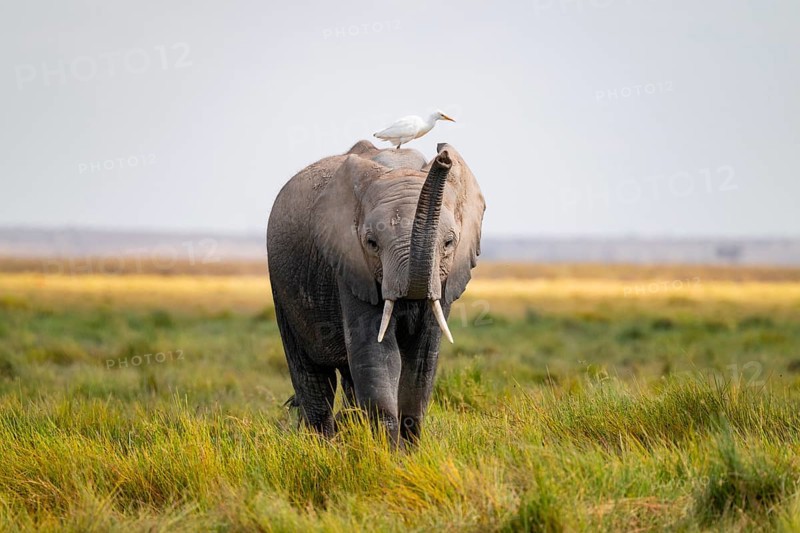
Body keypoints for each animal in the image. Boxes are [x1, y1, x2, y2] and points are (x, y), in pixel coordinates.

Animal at [266, 139, 485, 445]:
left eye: (449, 243)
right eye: (371, 243)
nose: (443, 156)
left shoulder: (444, 278)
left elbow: (422, 358)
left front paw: (408, 451)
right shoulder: (350, 265)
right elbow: (377, 352)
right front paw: (387, 450)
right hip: (282, 287)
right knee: (314, 378)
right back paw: (321, 444)